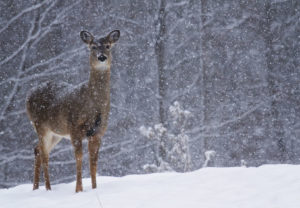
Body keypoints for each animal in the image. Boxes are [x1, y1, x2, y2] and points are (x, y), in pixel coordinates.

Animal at [25, 28, 119, 192]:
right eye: (93, 46)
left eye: (108, 46)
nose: (102, 57)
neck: (93, 105)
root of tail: (28, 96)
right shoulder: (75, 128)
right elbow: (79, 157)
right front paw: (78, 190)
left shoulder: (98, 132)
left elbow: (93, 161)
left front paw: (94, 188)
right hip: (41, 125)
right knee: (44, 154)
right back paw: (48, 188)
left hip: (56, 132)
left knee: (37, 149)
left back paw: (35, 188)